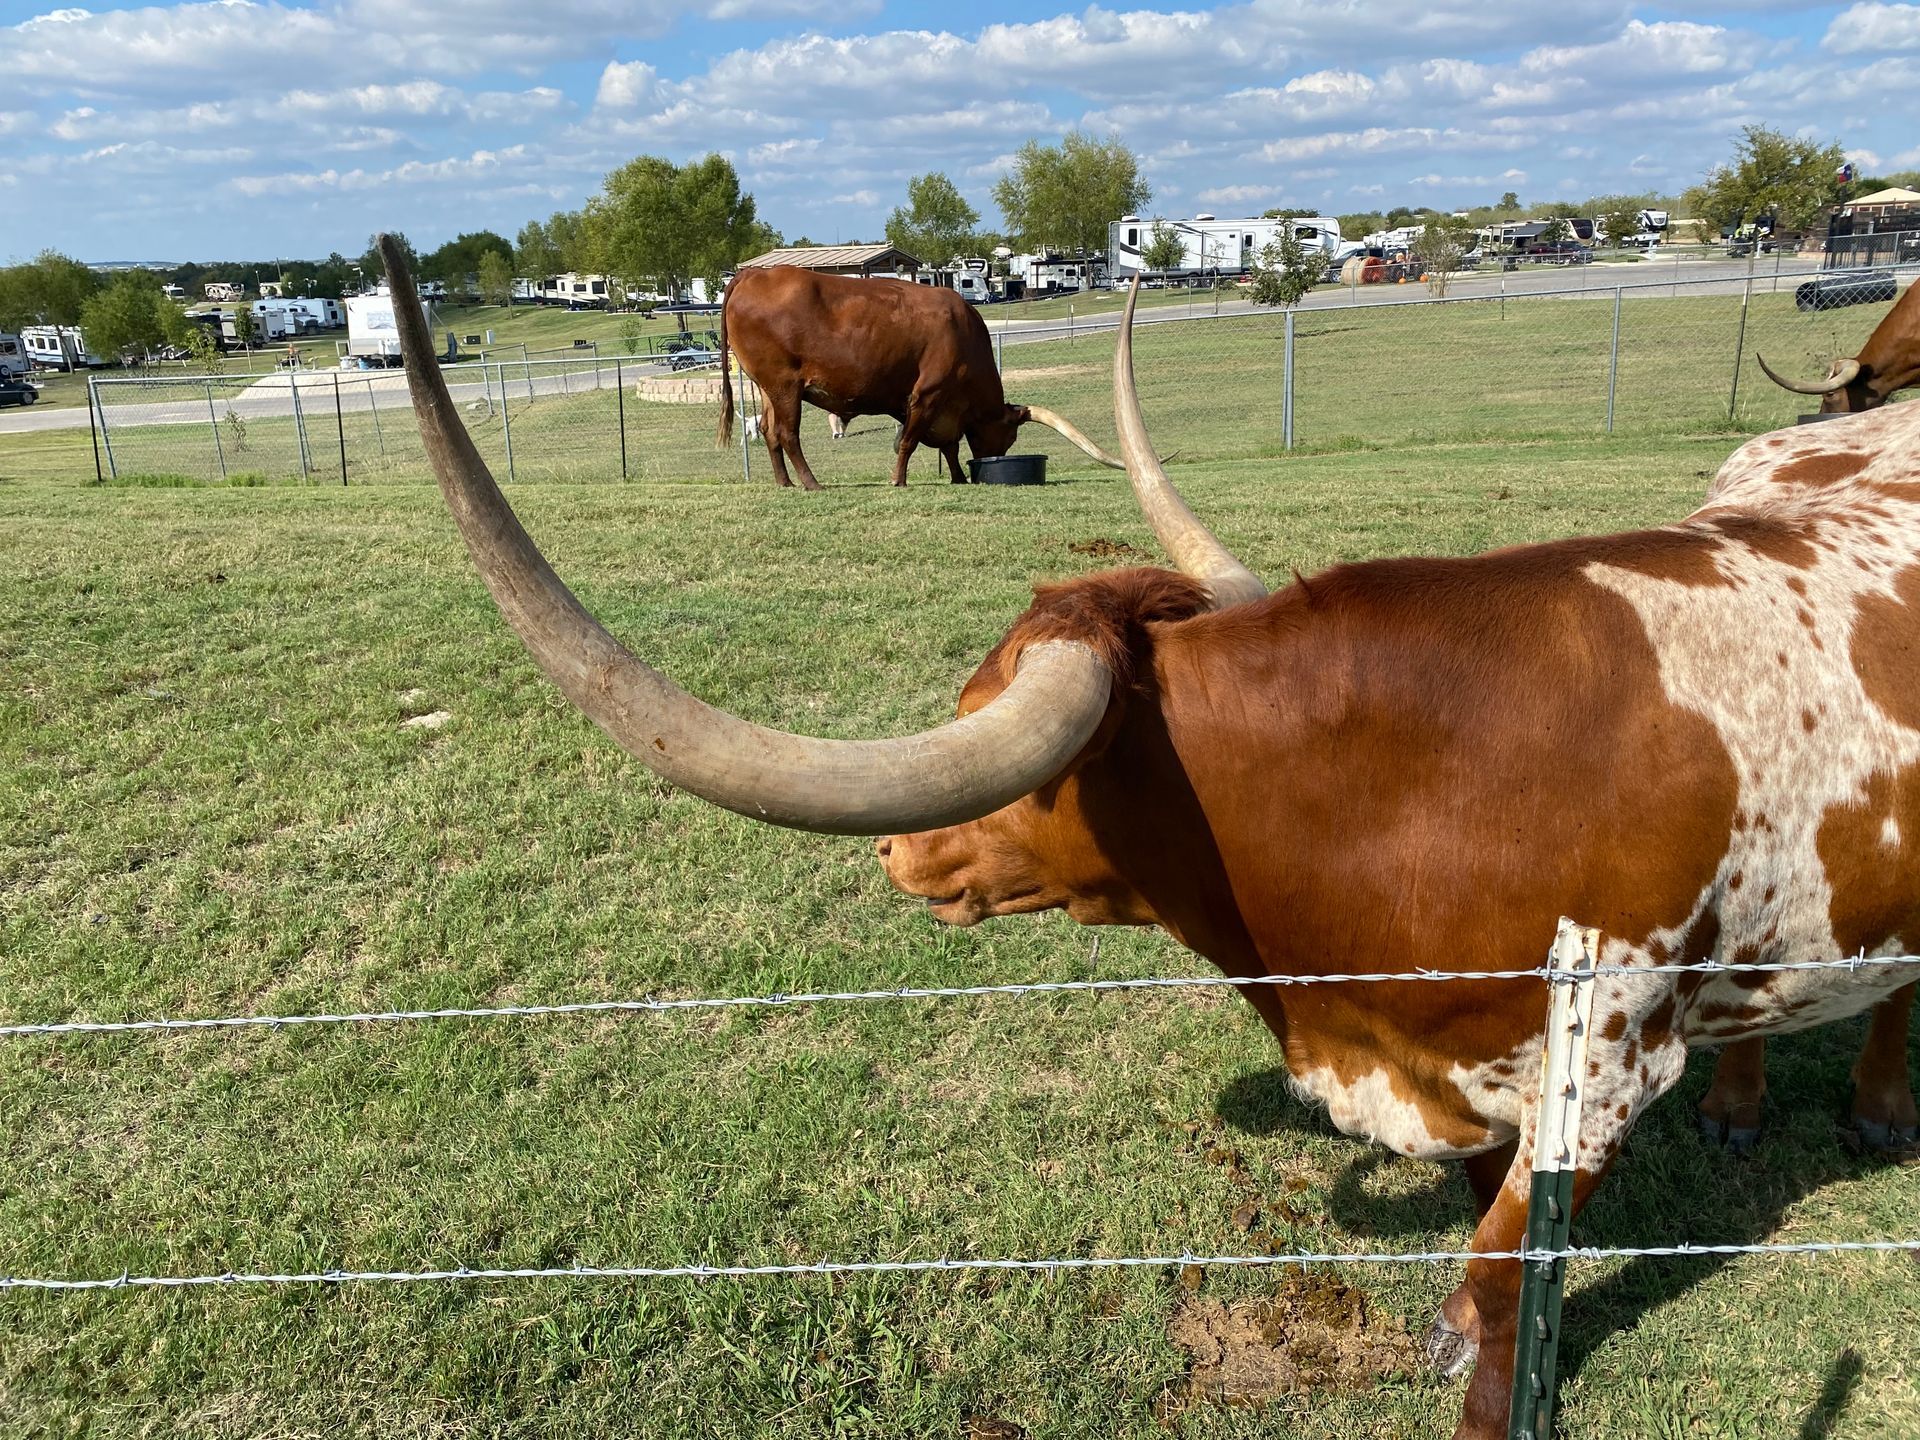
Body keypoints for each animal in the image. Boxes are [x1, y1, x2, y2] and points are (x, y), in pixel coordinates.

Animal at [715, 265, 1123, 489]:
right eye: (1011, 436)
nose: (988, 462)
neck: (965, 332)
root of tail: (754, 274)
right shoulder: (927, 394)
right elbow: (910, 442)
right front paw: (899, 479)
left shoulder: (943, 408)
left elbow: (949, 446)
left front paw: (958, 477)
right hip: (785, 386)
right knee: (788, 434)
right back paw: (812, 483)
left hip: (768, 387)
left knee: (769, 433)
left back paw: (784, 483)